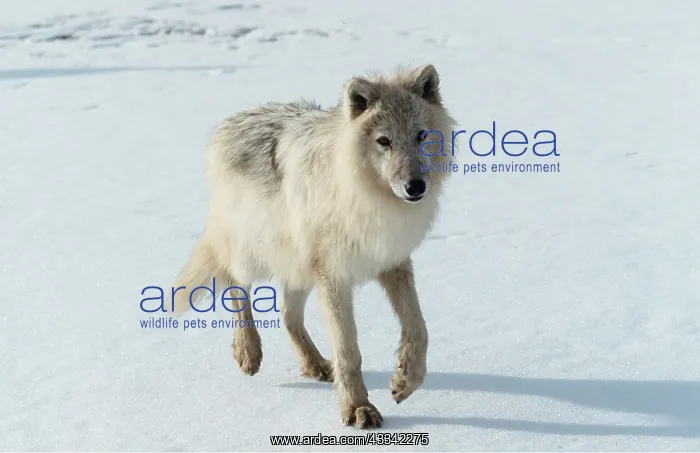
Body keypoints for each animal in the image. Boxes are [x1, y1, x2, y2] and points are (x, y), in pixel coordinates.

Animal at [170, 64, 457, 428]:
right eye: (384, 141)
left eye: (421, 136)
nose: (415, 187)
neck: (366, 200)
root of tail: (231, 121)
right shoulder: (334, 277)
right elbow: (348, 351)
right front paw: (358, 409)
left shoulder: (393, 262)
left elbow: (419, 330)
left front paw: (404, 382)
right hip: (256, 257)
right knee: (236, 286)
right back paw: (248, 352)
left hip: (300, 271)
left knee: (287, 314)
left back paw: (315, 365)